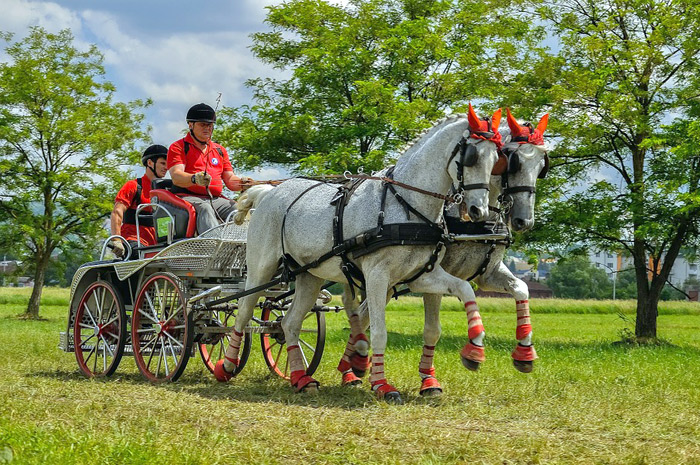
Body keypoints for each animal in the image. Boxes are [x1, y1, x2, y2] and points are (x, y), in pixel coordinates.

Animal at [217, 105, 504, 402]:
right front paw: (381, 383)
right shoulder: (377, 276)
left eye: (497, 158)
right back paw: (226, 366)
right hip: (261, 269)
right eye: (471, 157)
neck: (405, 203)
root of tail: (269, 192)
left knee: (289, 324)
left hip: (309, 275)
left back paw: (300, 378)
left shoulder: (422, 275)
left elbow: (465, 290)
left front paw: (475, 350)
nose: (479, 211)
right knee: (243, 311)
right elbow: (378, 332)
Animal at [336, 109, 548, 396]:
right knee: (358, 311)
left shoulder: (488, 274)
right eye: (512, 162)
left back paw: (354, 365)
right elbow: (431, 329)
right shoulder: (432, 273)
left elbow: (521, 289)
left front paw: (524, 353)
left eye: (541, 165)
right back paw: (348, 369)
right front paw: (430, 379)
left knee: (362, 313)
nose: (523, 221)